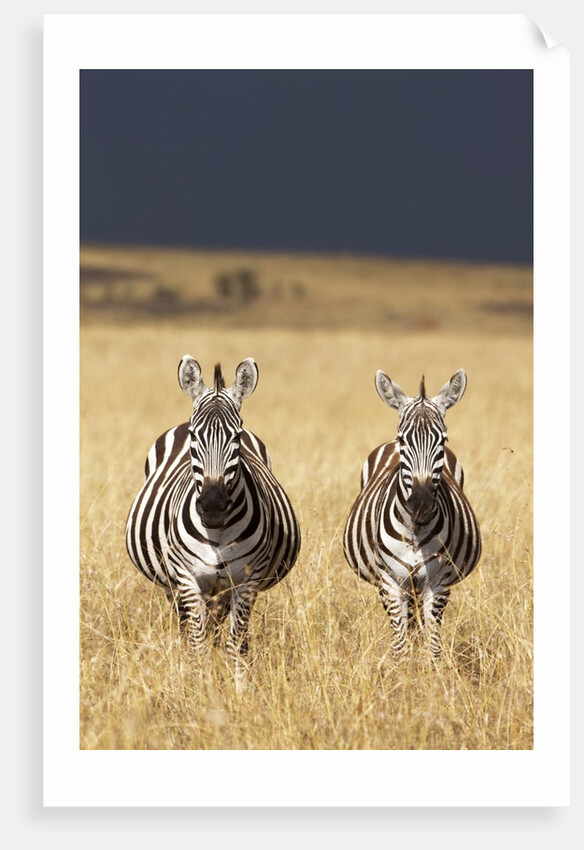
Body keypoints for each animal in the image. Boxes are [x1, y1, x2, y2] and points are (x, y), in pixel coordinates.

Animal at [125, 356, 301, 683]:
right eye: (195, 436)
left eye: (236, 437)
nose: (213, 505)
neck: (217, 534)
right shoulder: (186, 577)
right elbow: (197, 643)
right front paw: (198, 686)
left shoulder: (247, 579)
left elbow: (237, 643)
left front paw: (239, 688)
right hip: (173, 585)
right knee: (189, 628)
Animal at [343, 368, 481, 659]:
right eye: (402, 440)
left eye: (442, 440)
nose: (421, 503)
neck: (415, 529)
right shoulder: (391, 582)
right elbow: (399, 645)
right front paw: (403, 670)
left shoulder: (438, 583)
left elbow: (433, 645)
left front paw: (430, 669)